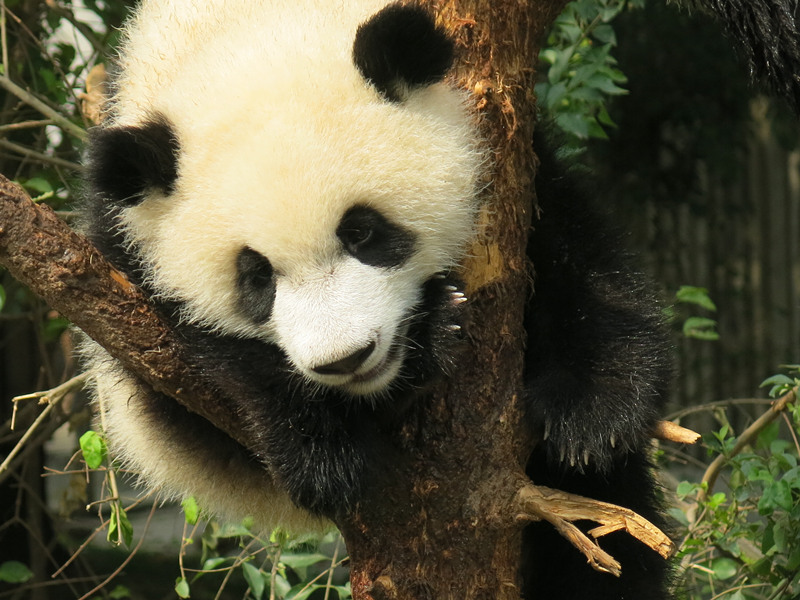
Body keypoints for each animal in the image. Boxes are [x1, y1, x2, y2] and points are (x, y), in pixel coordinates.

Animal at [80, 0, 798, 598]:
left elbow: (580, 262)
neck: (236, 30)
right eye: (255, 277)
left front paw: (594, 411)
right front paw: (326, 450)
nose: (347, 359)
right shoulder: (125, 239)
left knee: (605, 525)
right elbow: (196, 349)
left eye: (363, 231)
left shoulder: (513, 163)